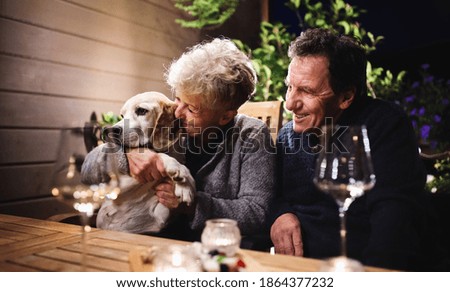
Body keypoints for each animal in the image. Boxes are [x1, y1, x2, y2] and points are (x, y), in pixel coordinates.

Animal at [81, 91, 194, 233]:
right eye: (122, 115)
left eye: (141, 110)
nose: (109, 130)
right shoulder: (117, 185)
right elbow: (158, 156)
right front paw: (179, 171)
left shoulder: (161, 216)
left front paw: (184, 185)